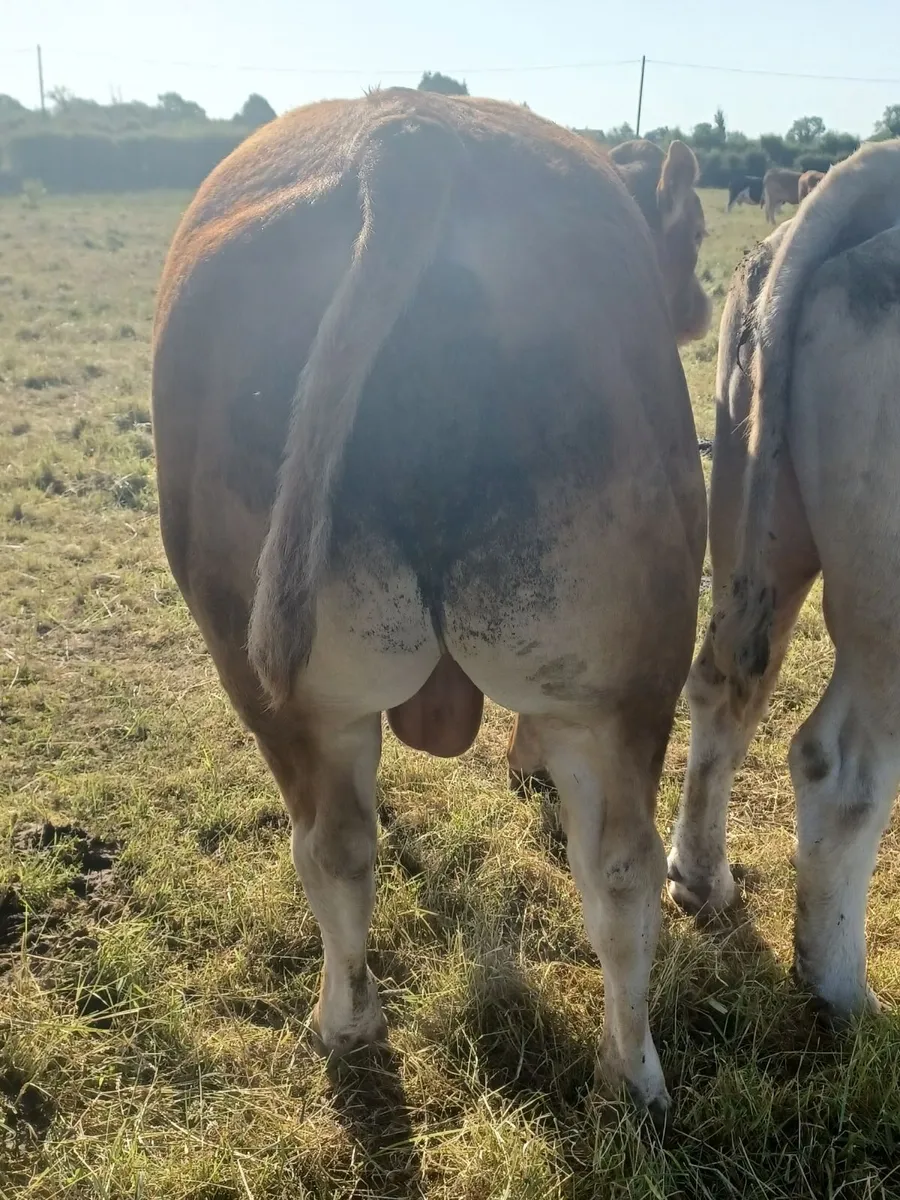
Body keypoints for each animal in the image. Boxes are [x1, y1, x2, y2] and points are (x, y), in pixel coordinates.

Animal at [151, 88, 711, 1118]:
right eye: (691, 229)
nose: (696, 301)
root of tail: (410, 135)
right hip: (597, 681)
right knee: (601, 864)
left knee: (352, 845)